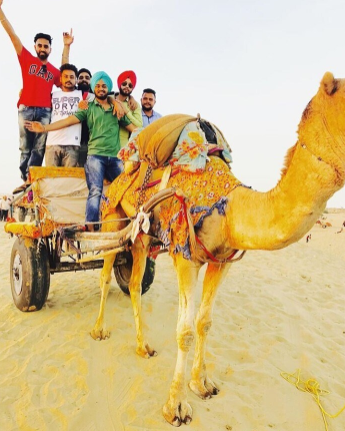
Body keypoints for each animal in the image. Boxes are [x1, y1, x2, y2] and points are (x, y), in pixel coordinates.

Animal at [89, 72, 344, 426]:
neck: (230, 209)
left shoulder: (221, 260)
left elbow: (204, 322)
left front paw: (202, 385)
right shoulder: (186, 257)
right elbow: (184, 331)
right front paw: (176, 407)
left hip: (143, 237)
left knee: (137, 283)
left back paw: (143, 347)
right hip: (113, 217)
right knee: (105, 273)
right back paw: (98, 331)